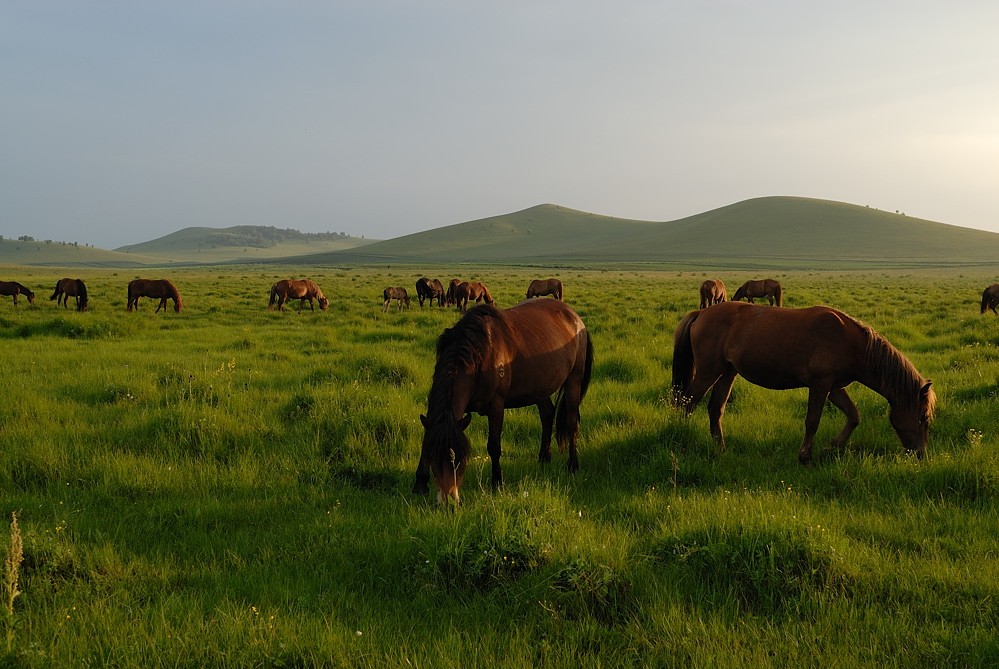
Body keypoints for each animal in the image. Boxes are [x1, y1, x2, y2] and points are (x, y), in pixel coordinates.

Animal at [414, 298, 592, 500]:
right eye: (434, 458)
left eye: (460, 460)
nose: (448, 498)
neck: (477, 354)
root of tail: (576, 319)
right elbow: (427, 437)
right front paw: (420, 483)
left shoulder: (496, 406)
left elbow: (494, 445)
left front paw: (497, 483)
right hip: (540, 388)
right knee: (547, 415)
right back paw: (544, 458)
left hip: (573, 381)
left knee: (571, 422)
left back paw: (572, 465)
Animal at [672, 302, 936, 464]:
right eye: (922, 417)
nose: (921, 454)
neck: (850, 342)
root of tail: (701, 314)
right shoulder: (820, 384)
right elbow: (812, 421)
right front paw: (805, 456)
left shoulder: (834, 387)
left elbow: (853, 416)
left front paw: (833, 446)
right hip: (708, 373)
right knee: (687, 404)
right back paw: (682, 441)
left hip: (727, 373)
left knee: (715, 408)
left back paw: (721, 448)